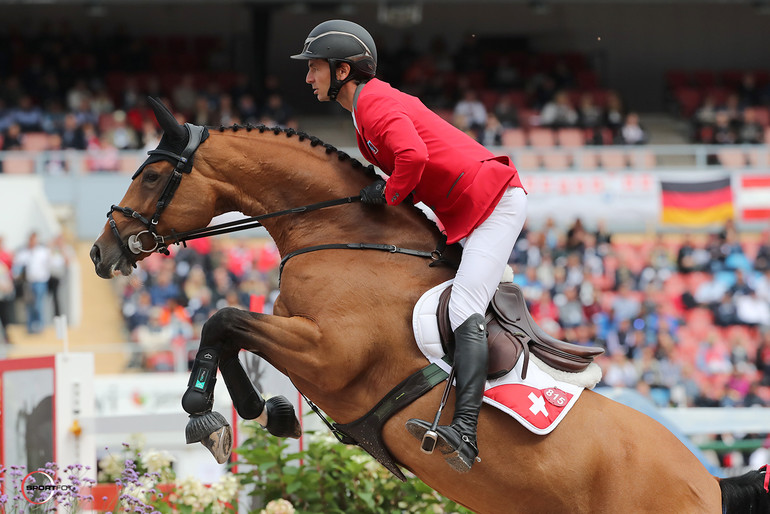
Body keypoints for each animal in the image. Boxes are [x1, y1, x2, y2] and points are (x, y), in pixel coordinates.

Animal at [91, 98, 768, 510]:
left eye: (151, 176)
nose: (101, 252)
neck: (340, 235)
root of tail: (708, 481)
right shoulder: (295, 331)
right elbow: (230, 328)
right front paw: (265, 412)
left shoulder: (330, 354)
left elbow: (222, 319)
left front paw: (206, 417)